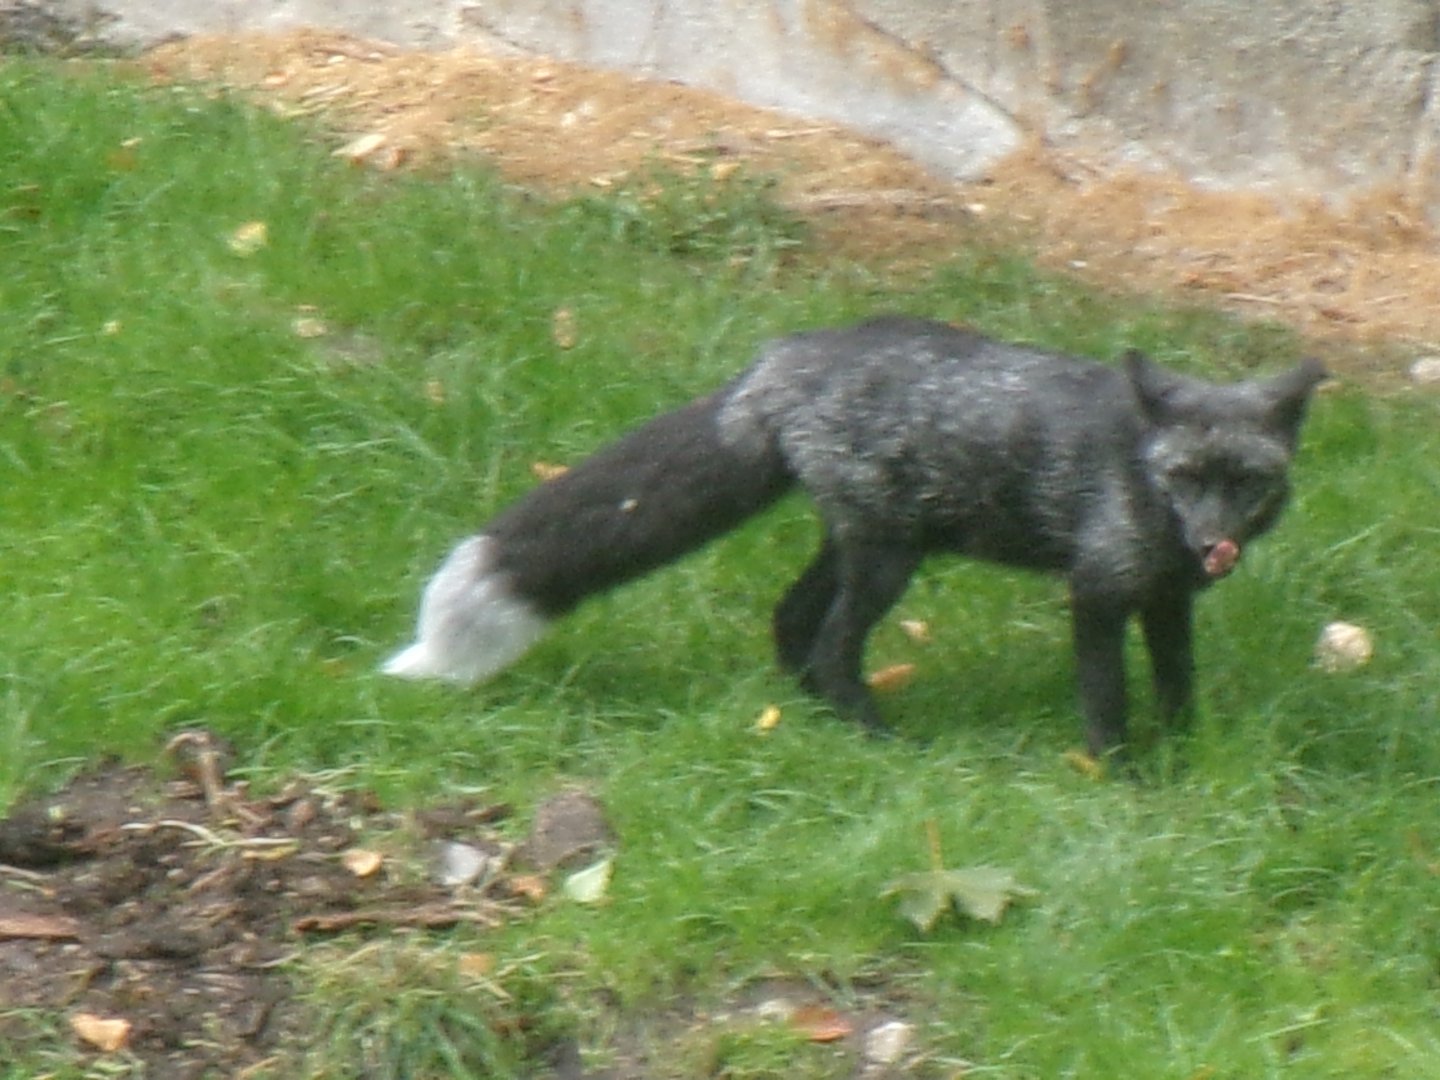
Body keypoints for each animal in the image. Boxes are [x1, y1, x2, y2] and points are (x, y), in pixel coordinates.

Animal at [383, 316, 1326, 758]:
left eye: (1244, 483)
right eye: (1184, 479)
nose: (1214, 543)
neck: (1136, 474)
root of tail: (781, 361)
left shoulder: (1165, 598)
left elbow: (1177, 681)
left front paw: (1187, 753)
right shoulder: (1095, 589)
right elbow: (1106, 697)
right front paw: (1121, 776)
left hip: (861, 542)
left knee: (790, 620)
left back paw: (813, 718)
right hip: (887, 560)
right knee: (834, 644)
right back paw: (878, 739)